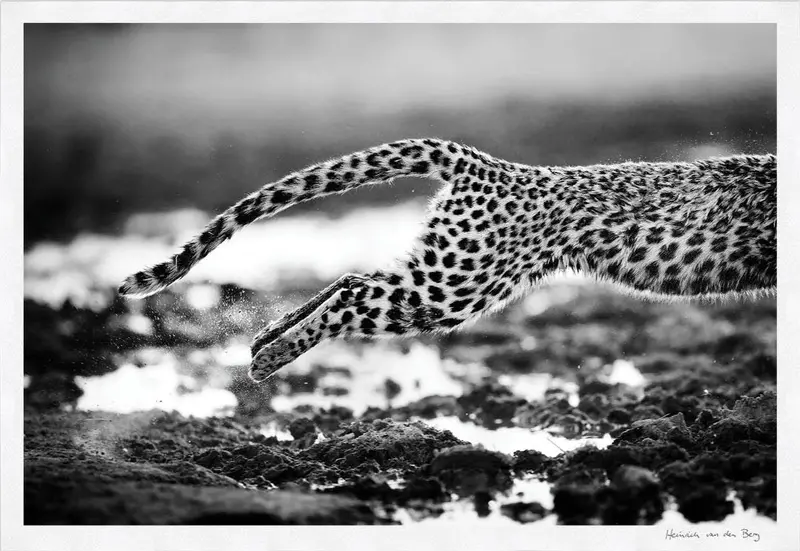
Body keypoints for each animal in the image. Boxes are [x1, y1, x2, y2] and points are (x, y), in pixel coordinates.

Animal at [119, 138, 777, 382]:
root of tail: (487, 163)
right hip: (456, 284)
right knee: (356, 295)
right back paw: (267, 359)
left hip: (445, 265)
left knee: (353, 278)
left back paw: (265, 338)